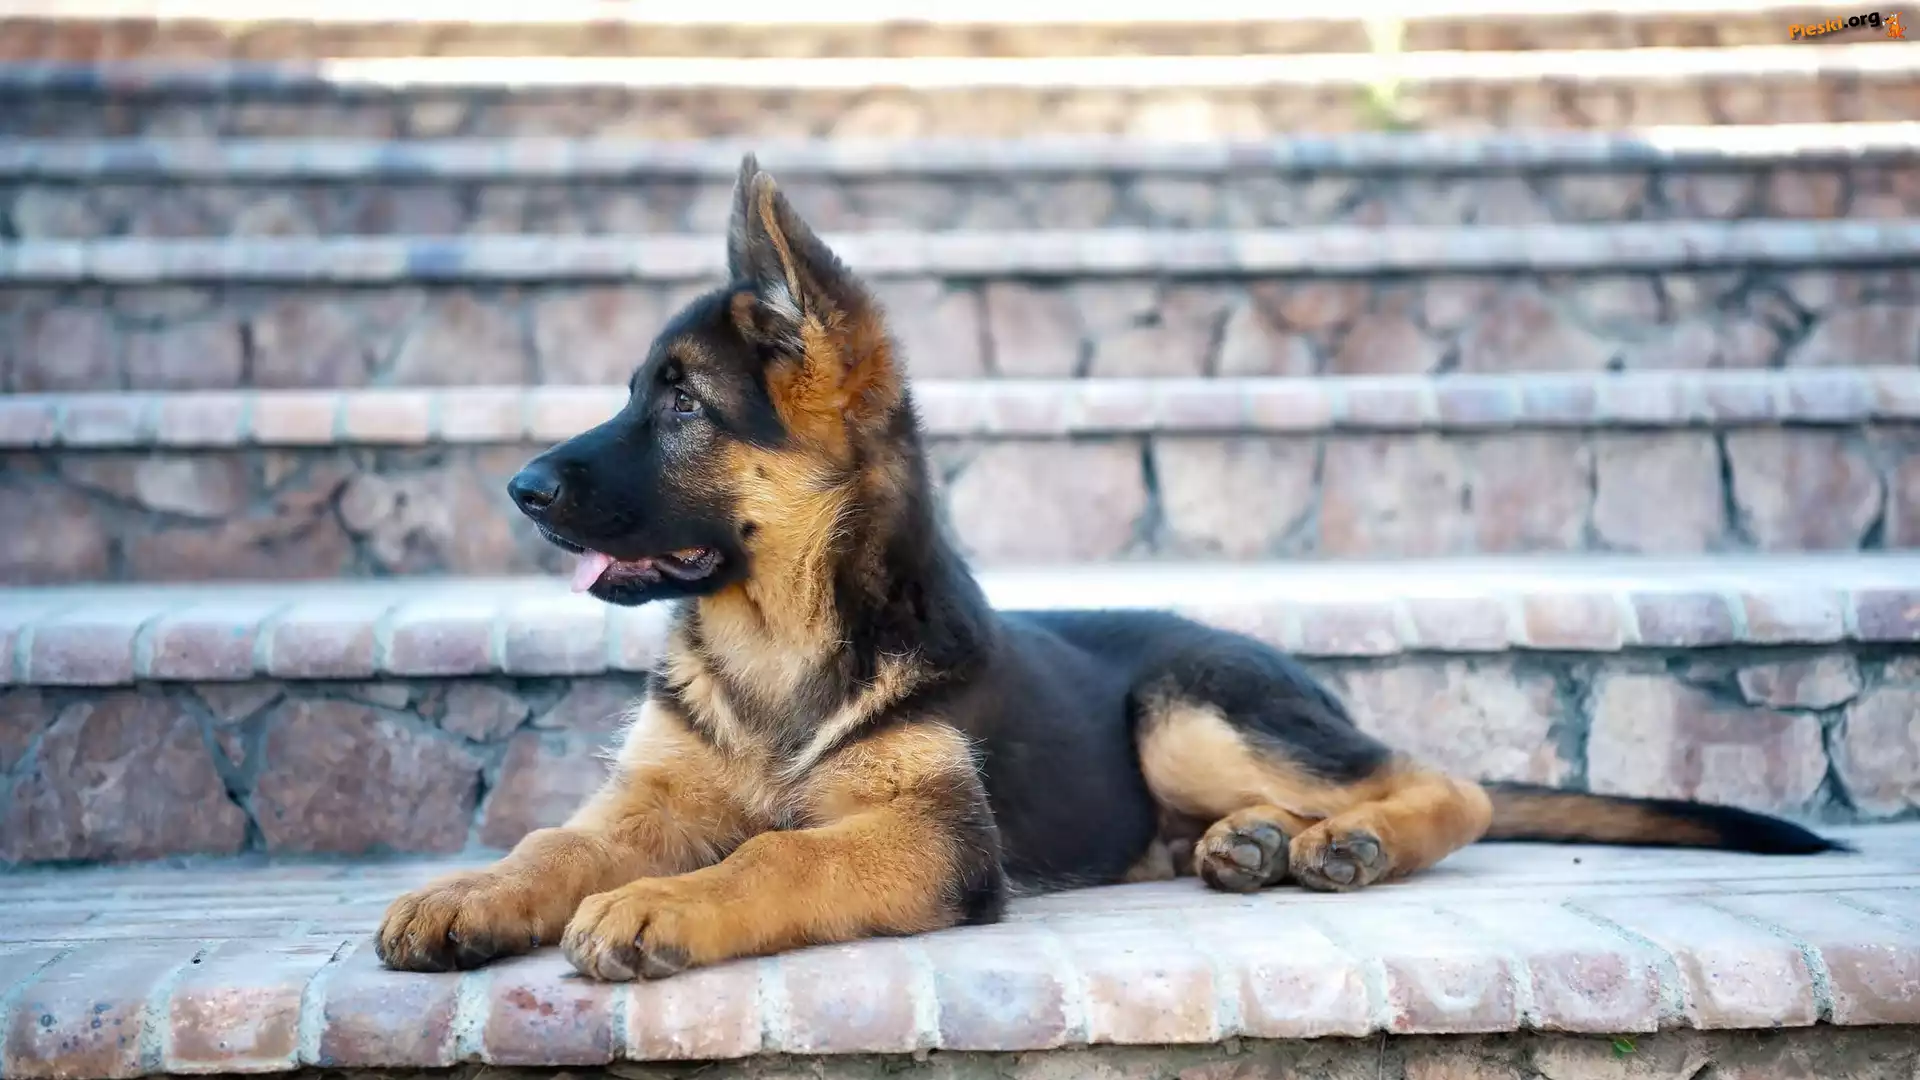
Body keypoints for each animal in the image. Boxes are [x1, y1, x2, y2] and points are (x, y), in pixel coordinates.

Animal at [375, 155, 1842, 981]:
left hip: (1188, 708)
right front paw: (467, 898)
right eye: (639, 391)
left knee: (1451, 784)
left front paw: (657, 909)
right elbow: (551, 842)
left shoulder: (933, 838)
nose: (520, 490)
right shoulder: (649, 801)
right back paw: (1252, 845)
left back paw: (1345, 836)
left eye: (681, 403)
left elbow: (773, 861)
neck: (776, 645)